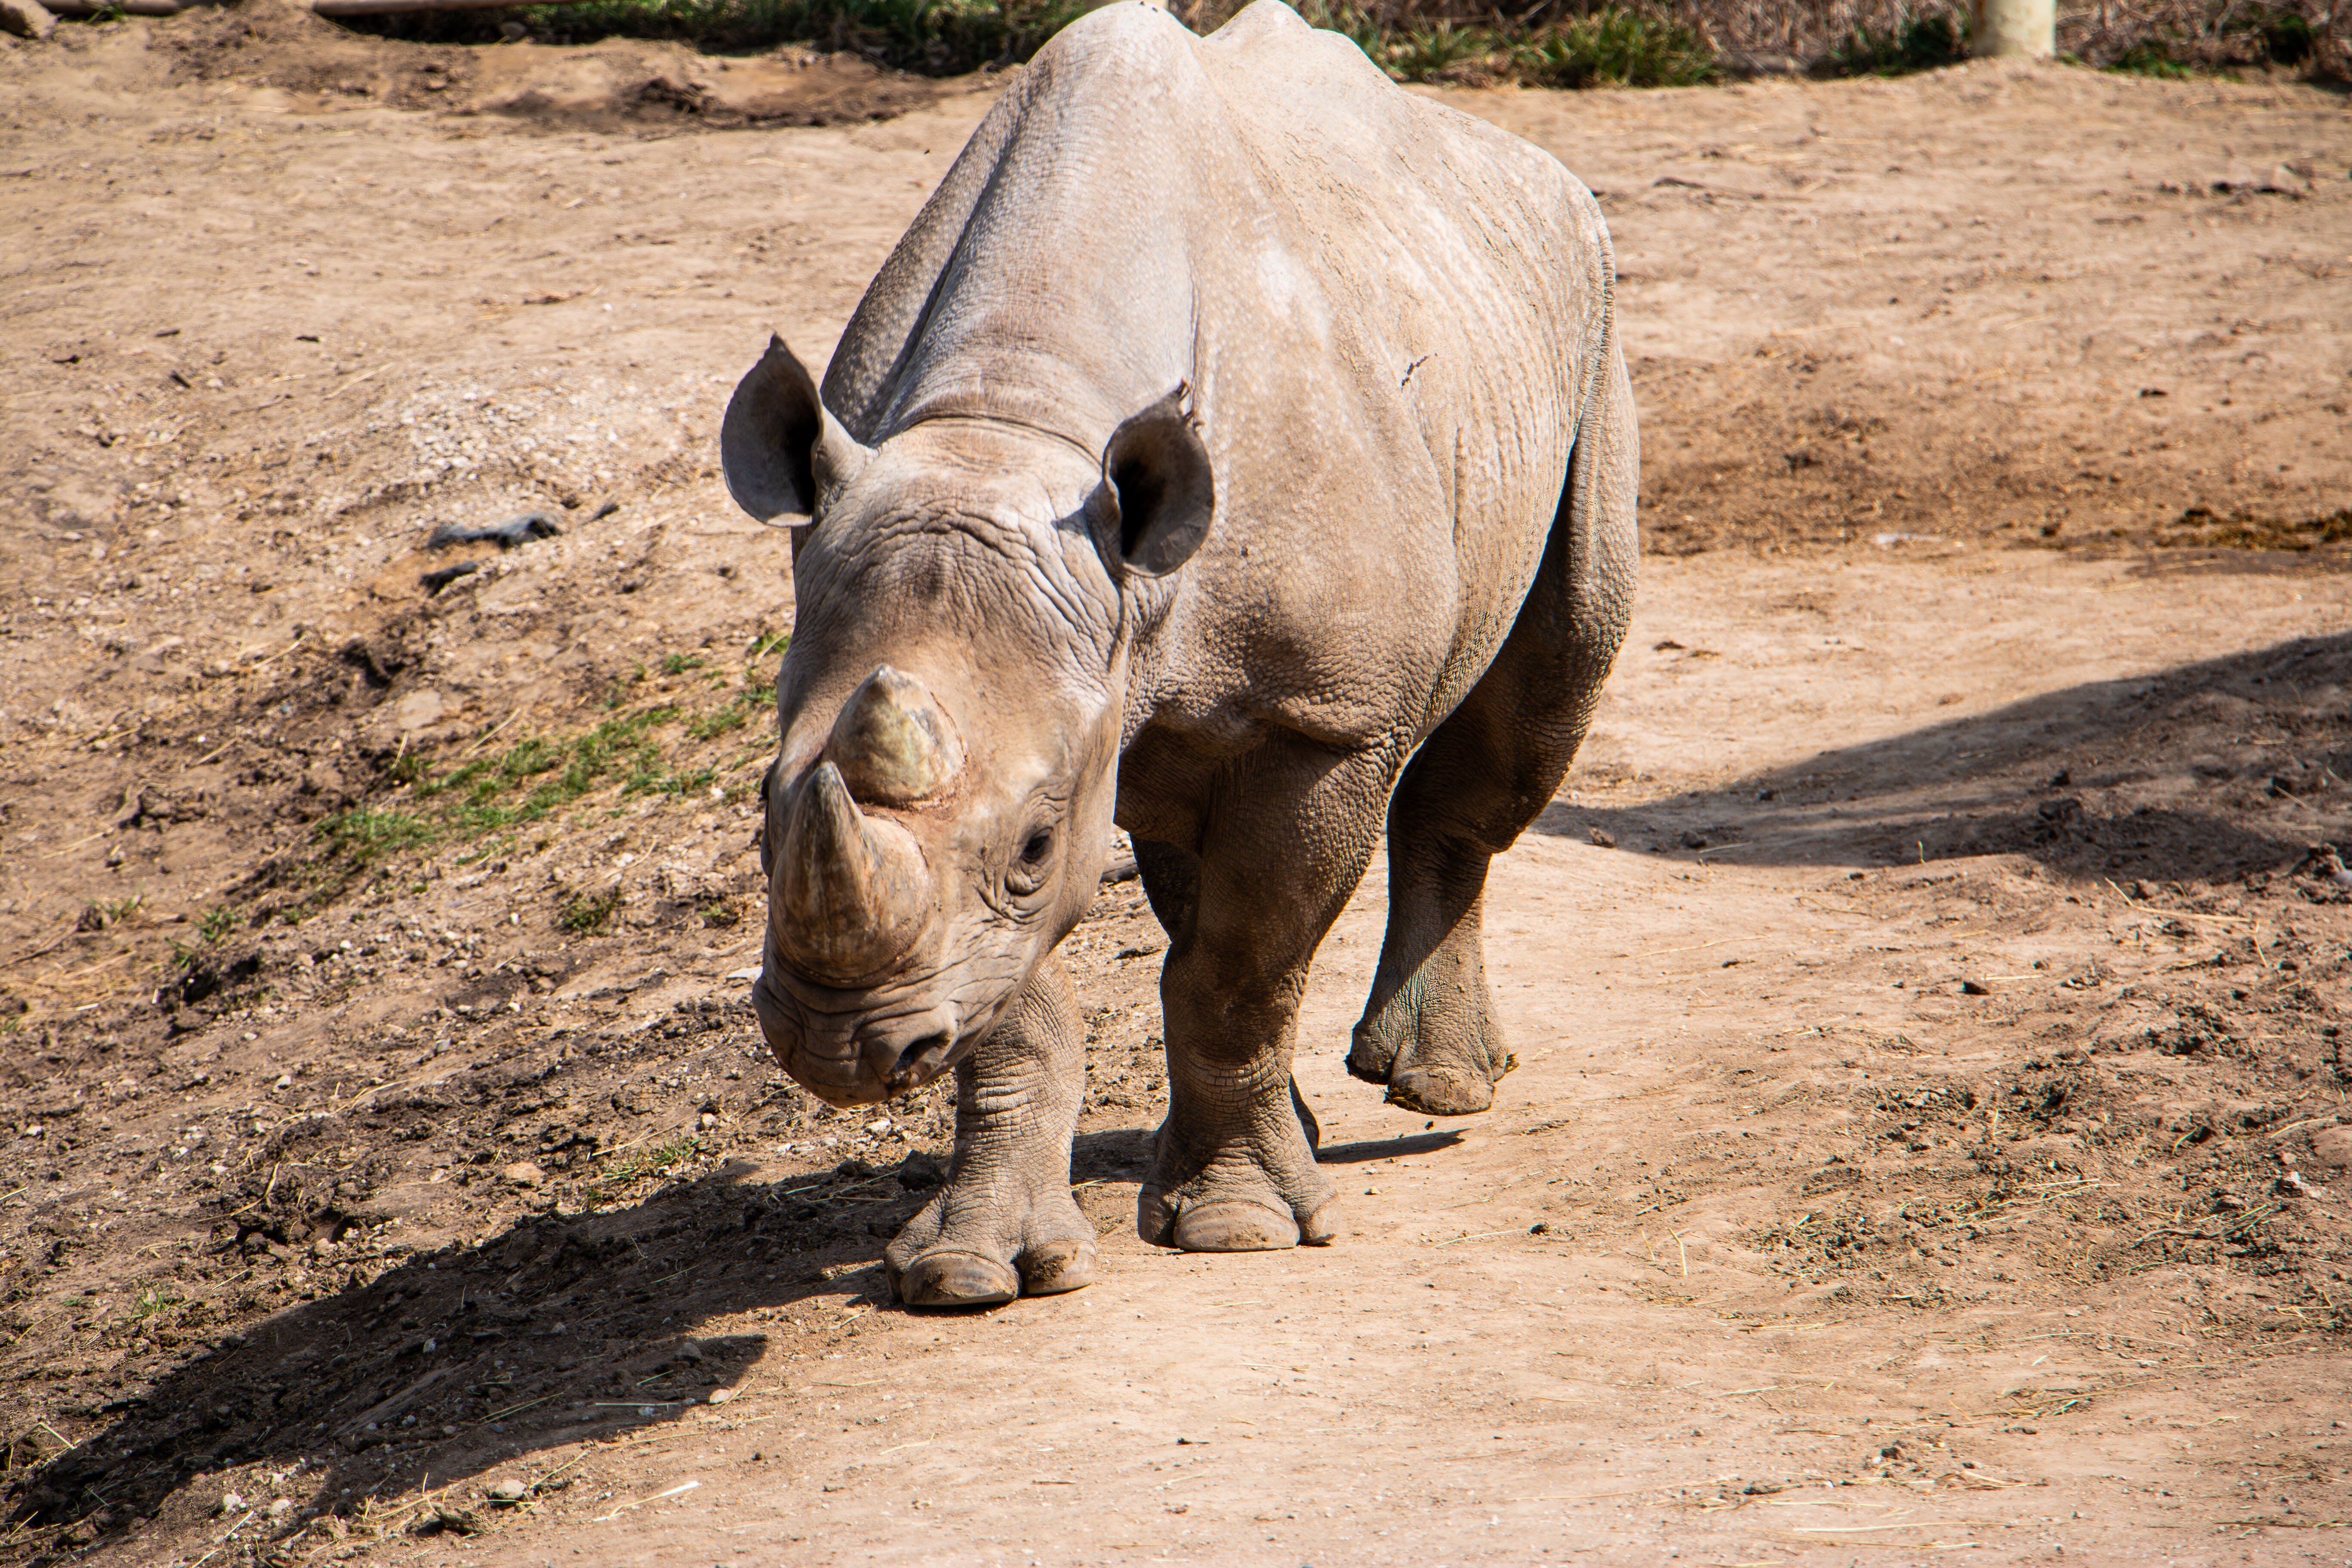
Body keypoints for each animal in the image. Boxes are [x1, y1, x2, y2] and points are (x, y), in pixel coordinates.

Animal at [723, 0, 1635, 1307]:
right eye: (763, 807)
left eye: (1033, 843)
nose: (841, 1047)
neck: (1009, 424)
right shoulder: (1053, 702)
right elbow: (1017, 988)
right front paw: (972, 1272)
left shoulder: (1323, 717)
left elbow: (1241, 969)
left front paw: (1239, 1231)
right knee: (1173, 830)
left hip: (1589, 326)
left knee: (1542, 684)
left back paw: (1436, 1087)